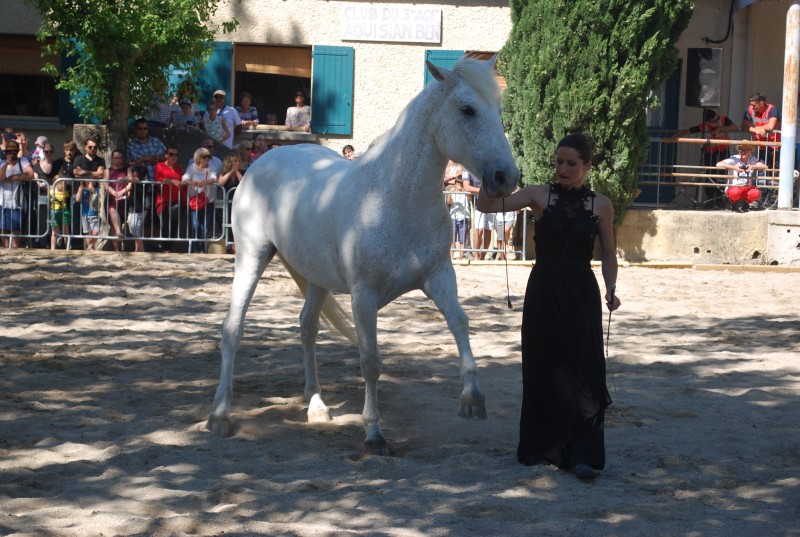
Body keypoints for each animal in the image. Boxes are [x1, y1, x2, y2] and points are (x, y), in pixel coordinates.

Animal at [206, 57, 520, 452]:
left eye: (498, 109)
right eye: (467, 109)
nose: (507, 177)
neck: (393, 197)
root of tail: (266, 158)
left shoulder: (438, 276)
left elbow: (460, 323)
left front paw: (472, 397)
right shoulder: (364, 296)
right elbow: (370, 360)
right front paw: (373, 433)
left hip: (317, 278)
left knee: (307, 328)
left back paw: (317, 406)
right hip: (252, 256)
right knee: (233, 329)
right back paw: (220, 415)